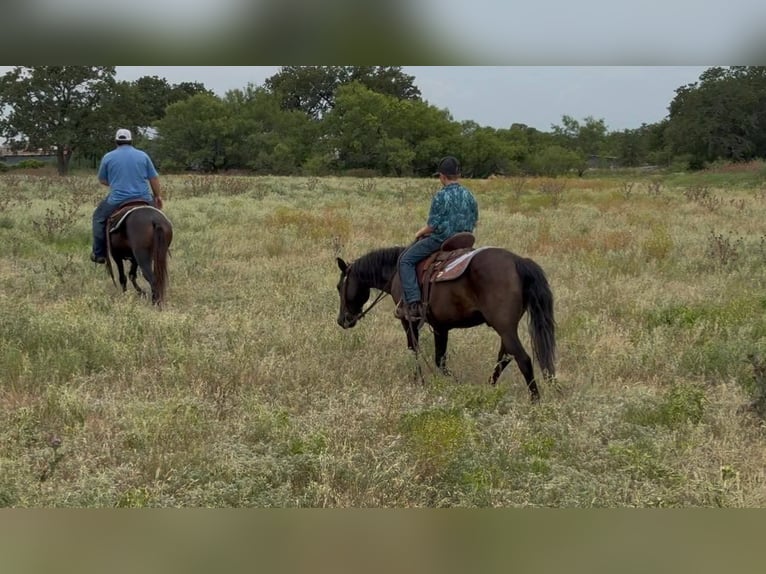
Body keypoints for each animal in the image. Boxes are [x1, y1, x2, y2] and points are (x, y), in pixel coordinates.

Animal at [335, 237, 556, 402]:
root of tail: (518, 261)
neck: (396, 272)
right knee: (505, 358)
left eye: (339, 287)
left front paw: (421, 382)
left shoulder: (409, 321)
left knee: (523, 359)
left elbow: (416, 351)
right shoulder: (441, 326)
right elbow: (439, 360)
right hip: (507, 328)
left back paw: (535, 401)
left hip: (504, 327)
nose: (342, 320)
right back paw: (487, 389)